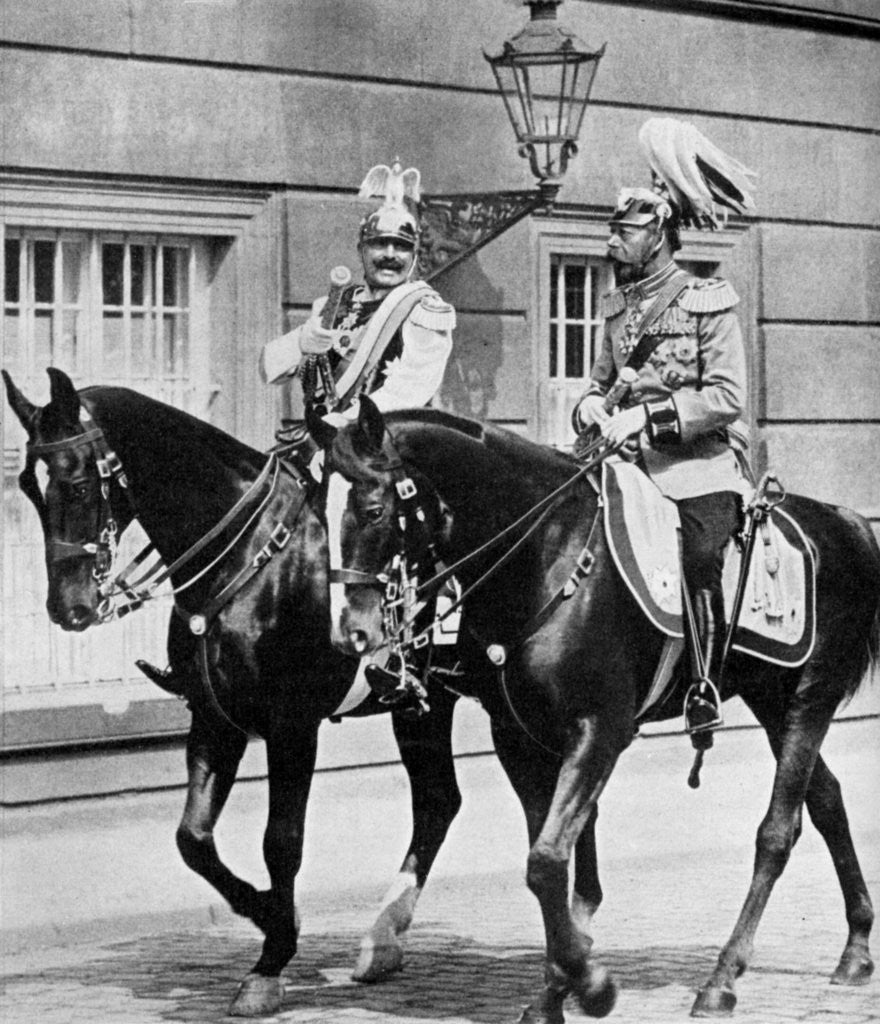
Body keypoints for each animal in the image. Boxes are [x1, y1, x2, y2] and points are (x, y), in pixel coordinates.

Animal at [1, 368, 481, 1015]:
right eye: (29, 484)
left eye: (77, 482)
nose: (67, 608)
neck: (251, 557)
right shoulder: (214, 718)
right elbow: (193, 839)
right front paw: (269, 914)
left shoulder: (292, 725)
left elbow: (281, 841)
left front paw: (273, 957)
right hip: (421, 705)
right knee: (437, 800)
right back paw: (383, 940)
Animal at [315, 399, 872, 1024]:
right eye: (319, 511)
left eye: (372, 508)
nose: (349, 632)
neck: (548, 558)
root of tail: (845, 522)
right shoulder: (519, 737)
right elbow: (550, 864)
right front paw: (557, 988)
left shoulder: (600, 730)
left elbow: (548, 861)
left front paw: (590, 984)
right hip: (773, 701)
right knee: (826, 802)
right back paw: (855, 948)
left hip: (808, 698)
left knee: (778, 832)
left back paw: (722, 979)